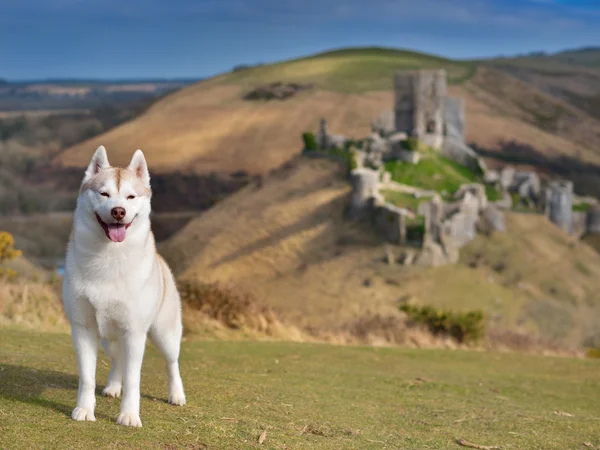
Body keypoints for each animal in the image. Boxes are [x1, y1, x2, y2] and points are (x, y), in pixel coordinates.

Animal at [61, 146, 185, 428]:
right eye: (104, 193)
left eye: (130, 196)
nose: (118, 211)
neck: (109, 257)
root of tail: (162, 262)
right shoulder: (83, 328)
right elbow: (87, 377)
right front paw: (84, 409)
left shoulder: (134, 332)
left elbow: (133, 379)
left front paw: (129, 415)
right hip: (110, 338)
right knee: (118, 360)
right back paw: (112, 387)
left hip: (164, 334)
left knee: (171, 363)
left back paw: (176, 394)